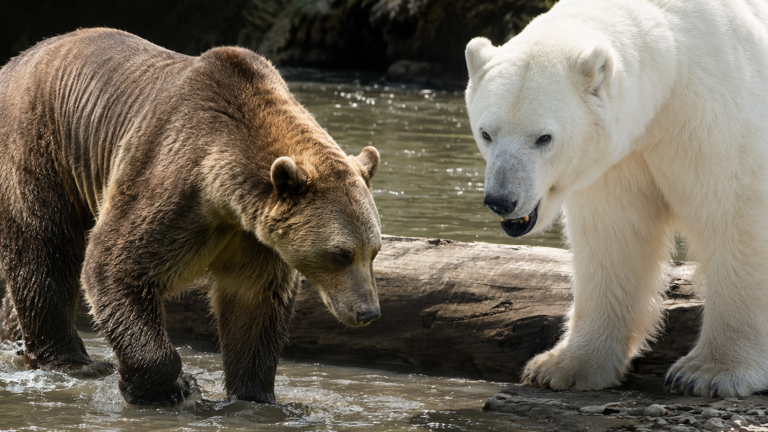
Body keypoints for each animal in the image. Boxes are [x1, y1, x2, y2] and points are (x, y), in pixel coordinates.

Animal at [0, 28, 383, 405]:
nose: (368, 312)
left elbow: (254, 303)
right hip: (41, 146)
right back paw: (73, 361)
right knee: (44, 250)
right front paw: (173, 386)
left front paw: (253, 393)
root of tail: (14, 62)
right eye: (340, 253)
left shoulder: (254, 237)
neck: (226, 196)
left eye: (373, 251)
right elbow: (113, 265)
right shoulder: (173, 183)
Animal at [465, 0, 768, 397]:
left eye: (544, 137)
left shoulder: (714, 119)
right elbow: (615, 236)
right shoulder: (618, 161)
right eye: (486, 133)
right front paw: (562, 366)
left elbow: (736, 217)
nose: (502, 200)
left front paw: (709, 372)